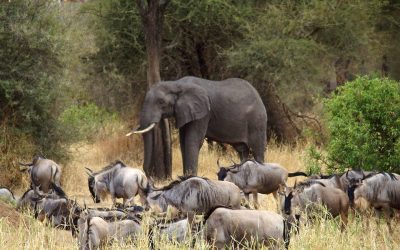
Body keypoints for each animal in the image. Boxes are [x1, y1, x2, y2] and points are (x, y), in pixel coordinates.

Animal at [127, 76, 266, 176]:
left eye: (161, 102)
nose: (148, 174)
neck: (176, 84)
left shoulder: (203, 113)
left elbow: (192, 141)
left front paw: (190, 178)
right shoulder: (184, 112)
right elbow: (183, 142)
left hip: (257, 121)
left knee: (257, 150)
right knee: (243, 151)